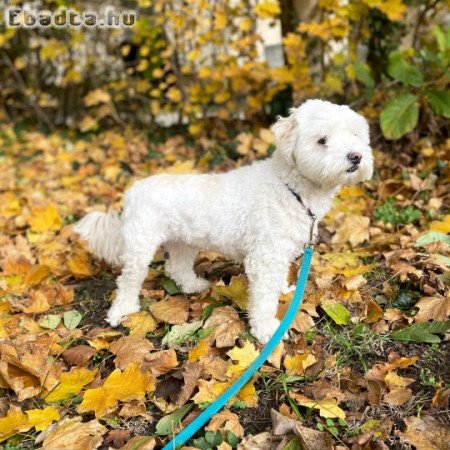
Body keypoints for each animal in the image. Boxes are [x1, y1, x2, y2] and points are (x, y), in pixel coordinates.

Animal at [76, 100, 372, 342]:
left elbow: (276, 282)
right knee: (129, 279)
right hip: (141, 245)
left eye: (355, 135)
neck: (290, 186)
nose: (356, 156)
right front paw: (267, 330)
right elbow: (263, 298)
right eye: (322, 140)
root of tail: (133, 190)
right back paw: (122, 311)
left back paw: (193, 285)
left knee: (176, 267)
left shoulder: (280, 252)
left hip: (184, 241)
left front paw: (284, 290)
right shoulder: (265, 258)